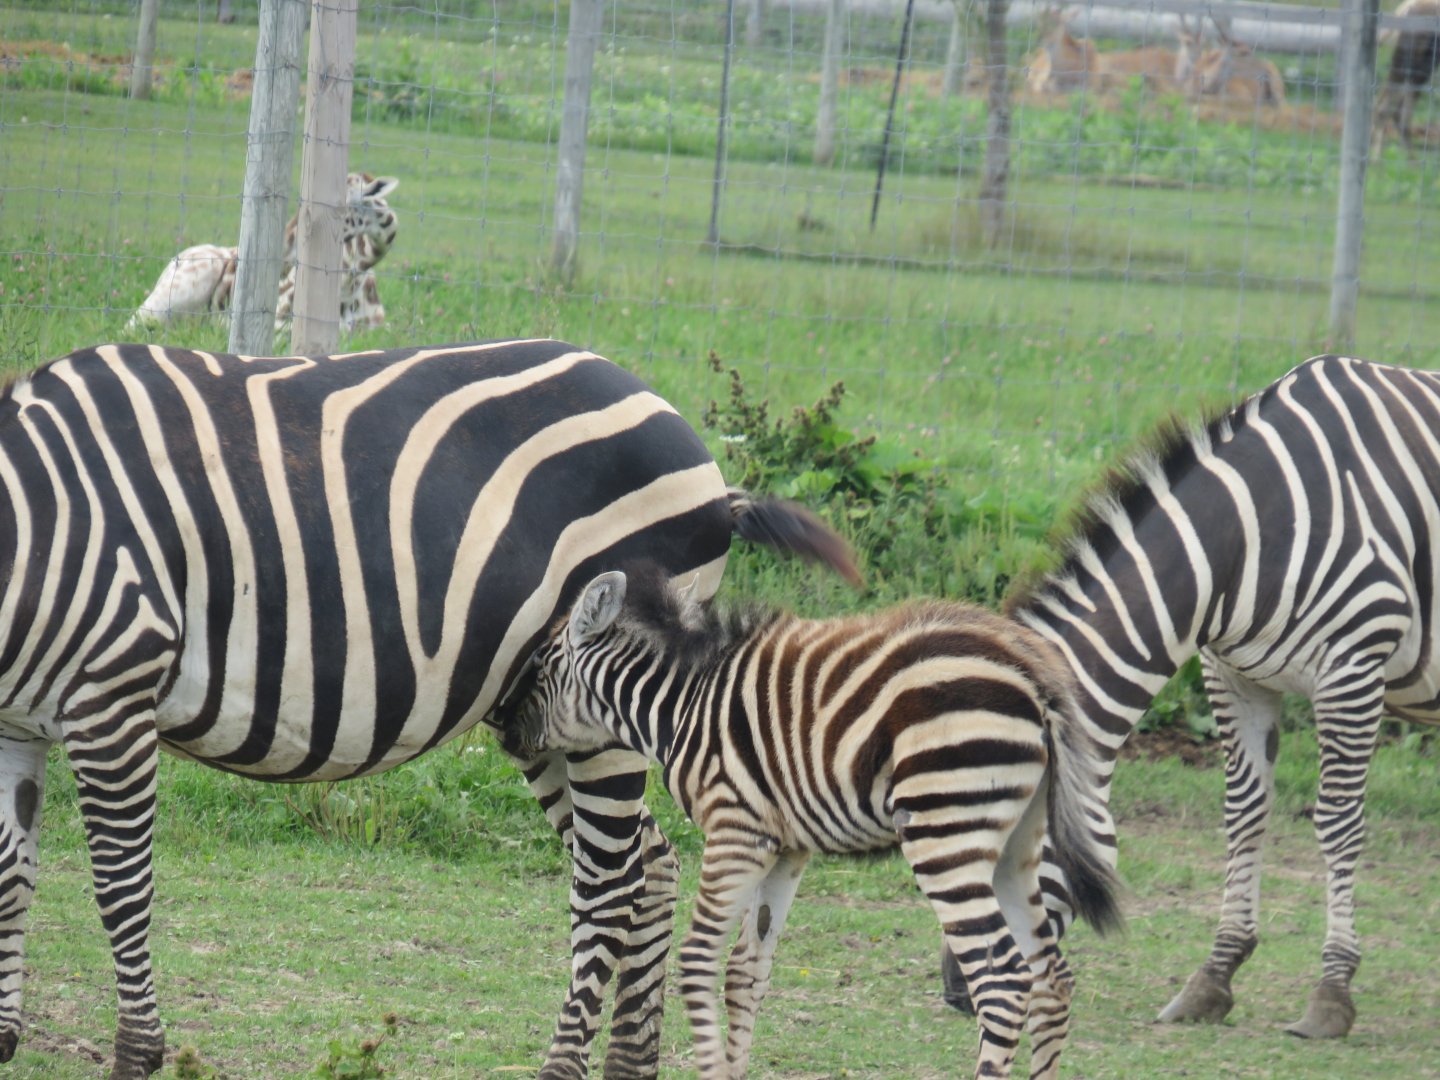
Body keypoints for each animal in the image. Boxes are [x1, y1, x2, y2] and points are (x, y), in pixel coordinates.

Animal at [0, 338, 859, 1080]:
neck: (37, 523)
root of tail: (677, 427)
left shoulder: (112, 693)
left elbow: (121, 886)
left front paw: (137, 1053)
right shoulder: (14, 724)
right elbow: (13, 872)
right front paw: (5, 1040)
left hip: (608, 693)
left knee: (611, 882)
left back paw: (561, 1067)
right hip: (547, 712)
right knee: (651, 864)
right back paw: (626, 1066)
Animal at [498, 562, 1124, 1080]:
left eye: (540, 661)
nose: (503, 732)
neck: (683, 704)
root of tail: (1034, 675)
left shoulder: (735, 829)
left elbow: (699, 959)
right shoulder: (786, 847)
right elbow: (745, 973)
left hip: (945, 831)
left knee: (1003, 983)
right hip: (1016, 846)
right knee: (1052, 980)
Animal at [938, 354, 1439, 1040]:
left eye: (1021, 838)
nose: (956, 993)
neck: (1254, 529)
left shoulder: (1352, 669)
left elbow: (1337, 824)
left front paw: (1333, 993)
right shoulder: (1234, 675)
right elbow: (1244, 816)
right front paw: (1214, 979)